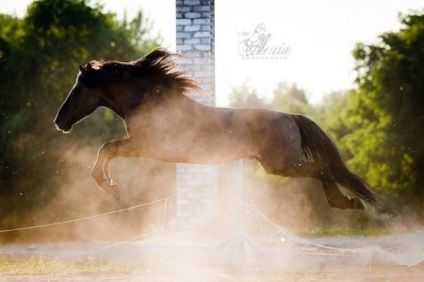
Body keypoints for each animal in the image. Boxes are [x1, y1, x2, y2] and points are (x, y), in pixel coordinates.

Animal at [53, 46, 378, 209]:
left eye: (79, 88)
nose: (59, 121)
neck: (151, 103)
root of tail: (290, 116)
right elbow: (106, 151)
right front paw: (111, 188)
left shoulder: (145, 147)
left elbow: (106, 150)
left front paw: (112, 190)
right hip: (283, 165)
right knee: (323, 170)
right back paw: (347, 203)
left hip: (283, 165)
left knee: (322, 169)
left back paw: (347, 203)